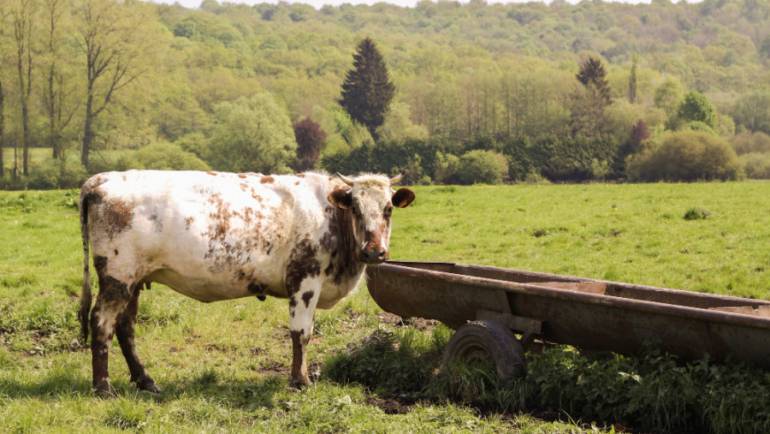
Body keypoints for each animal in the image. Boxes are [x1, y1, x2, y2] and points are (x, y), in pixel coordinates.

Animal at [78, 170, 414, 396]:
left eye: (388, 209)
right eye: (356, 208)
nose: (374, 251)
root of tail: (100, 180)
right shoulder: (305, 278)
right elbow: (301, 333)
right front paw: (300, 380)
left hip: (134, 279)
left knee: (126, 328)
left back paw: (145, 381)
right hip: (117, 275)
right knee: (102, 322)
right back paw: (103, 387)